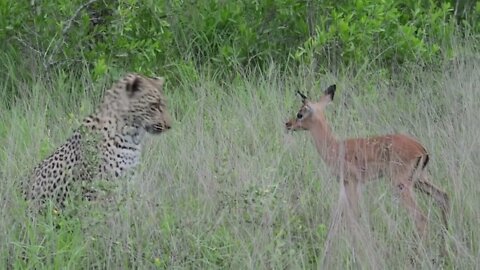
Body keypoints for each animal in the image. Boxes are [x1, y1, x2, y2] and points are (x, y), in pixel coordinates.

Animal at [23, 73, 172, 209]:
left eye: (163, 105)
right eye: (154, 106)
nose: (169, 125)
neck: (132, 137)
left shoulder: (126, 183)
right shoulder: (97, 190)